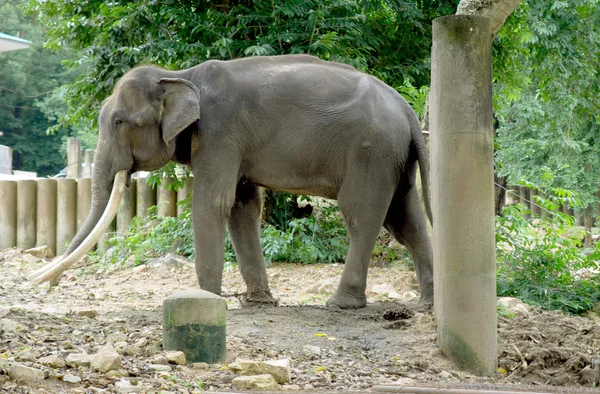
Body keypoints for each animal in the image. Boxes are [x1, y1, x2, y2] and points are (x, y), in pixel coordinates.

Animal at [28, 53, 434, 310]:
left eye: (118, 122)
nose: (45, 286)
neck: (179, 75)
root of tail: (408, 112)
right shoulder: (230, 142)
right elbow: (241, 206)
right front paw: (257, 303)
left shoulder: (219, 132)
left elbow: (212, 203)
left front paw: (205, 298)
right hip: (393, 157)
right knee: (406, 219)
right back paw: (425, 303)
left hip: (370, 153)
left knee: (362, 216)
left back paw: (340, 304)